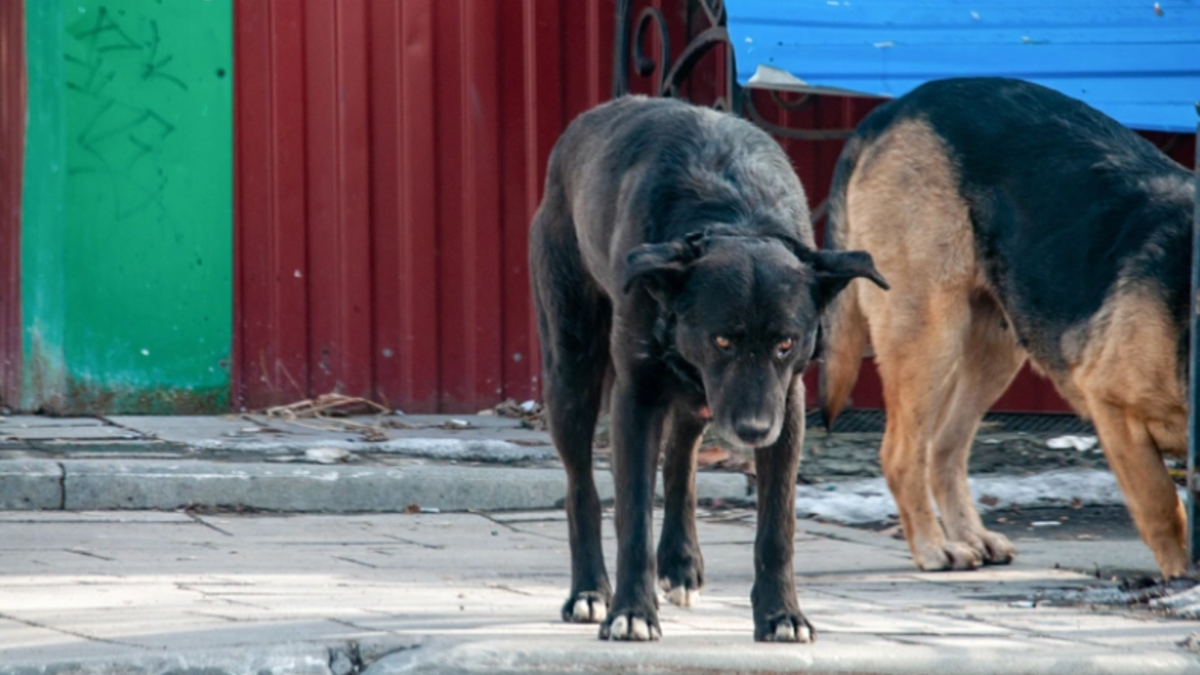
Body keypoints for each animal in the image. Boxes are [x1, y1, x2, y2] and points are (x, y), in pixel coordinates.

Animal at [530, 96, 888, 638]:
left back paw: (680, 564)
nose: (753, 430)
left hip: (700, 399)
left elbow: (777, 526)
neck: (736, 216)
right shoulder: (637, 396)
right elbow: (632, 517)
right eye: (722, 339)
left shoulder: (787, 404)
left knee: (680, 460)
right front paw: (631, 613)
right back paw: (590, 591)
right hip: (572, 370)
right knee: (581, 489)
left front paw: (782, 614)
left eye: (785, 343)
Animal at [820, 77, 1195, 571]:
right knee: (903, 453)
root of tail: (895, 108)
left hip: (995, 347)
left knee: (943, 448)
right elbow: (1163, 509)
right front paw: (1181, 576)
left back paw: (970, 535)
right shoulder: (1113, 407)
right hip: (930, 332)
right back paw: (934, 547)